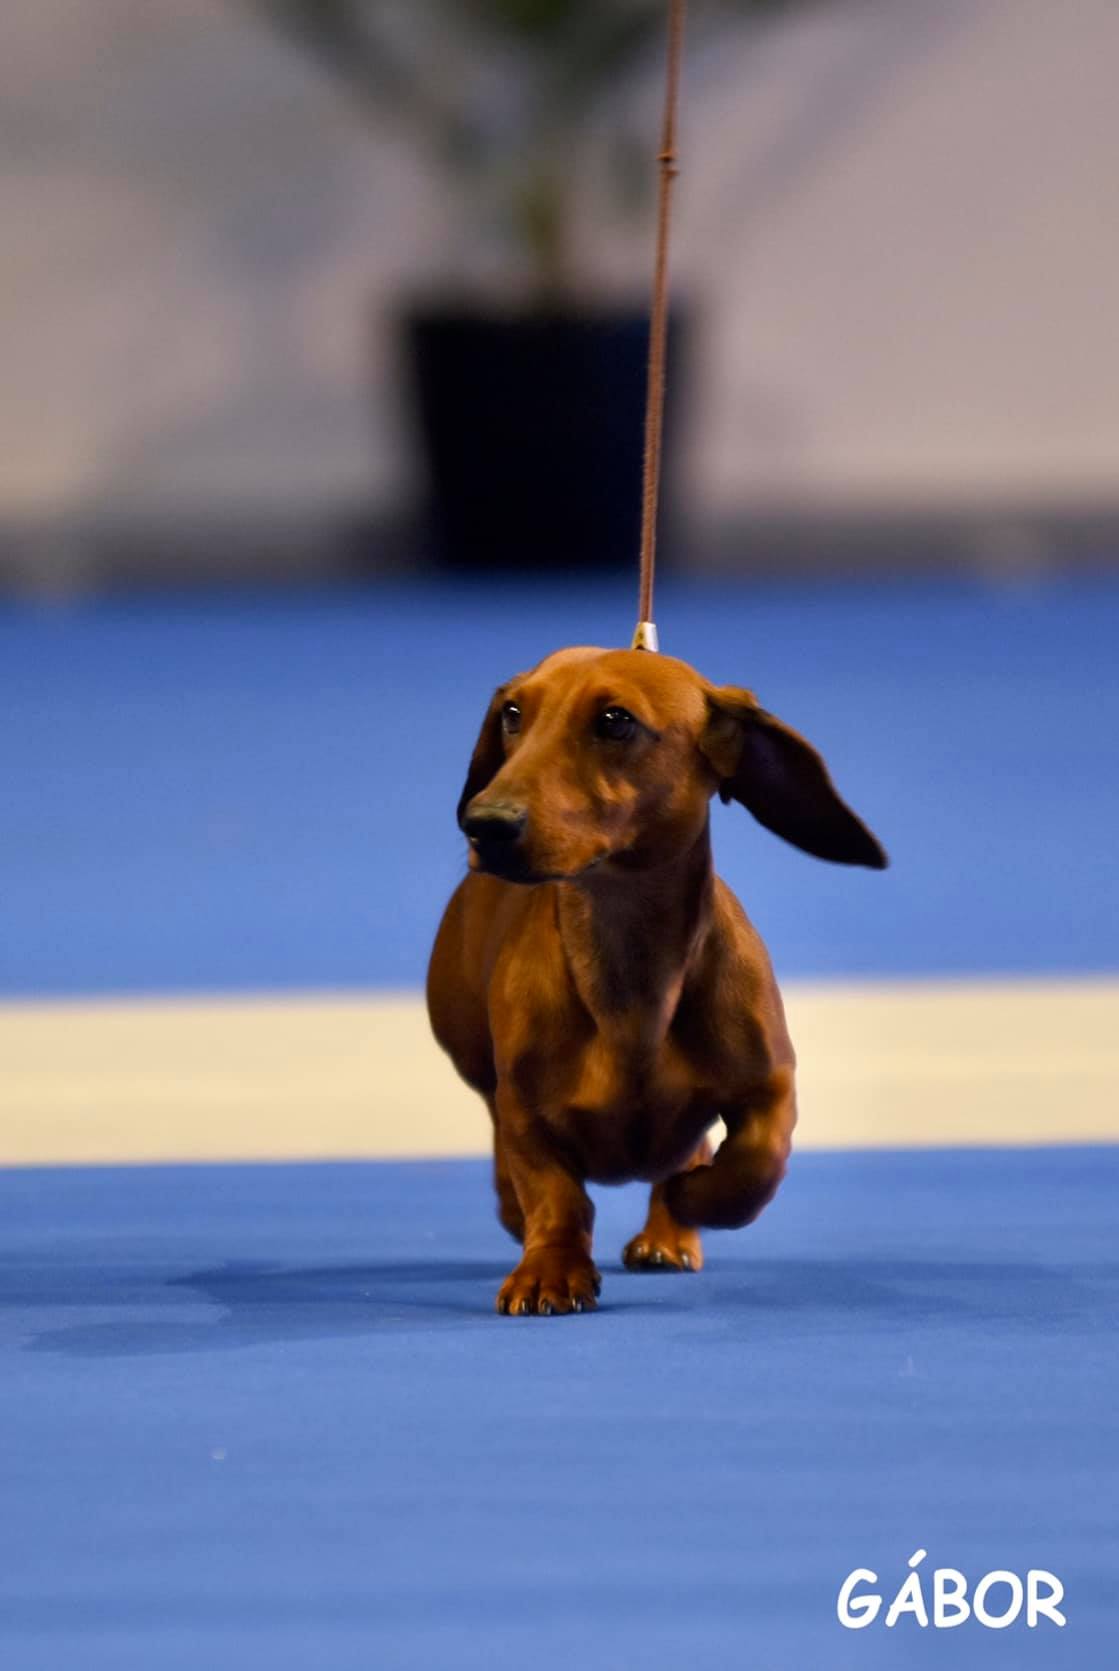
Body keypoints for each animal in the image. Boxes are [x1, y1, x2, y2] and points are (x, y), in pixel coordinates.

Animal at [427, 646, 886, 1315]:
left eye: (615, 720)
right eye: (513, 713)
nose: (485, 823)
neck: (630, 978)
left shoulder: (771, 1086)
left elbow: (754, 1165)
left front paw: (690, 1199)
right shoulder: (524, 1108)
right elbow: (553, 1192)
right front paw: (548, 1270)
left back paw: (670, 1230)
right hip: (470, 1053)